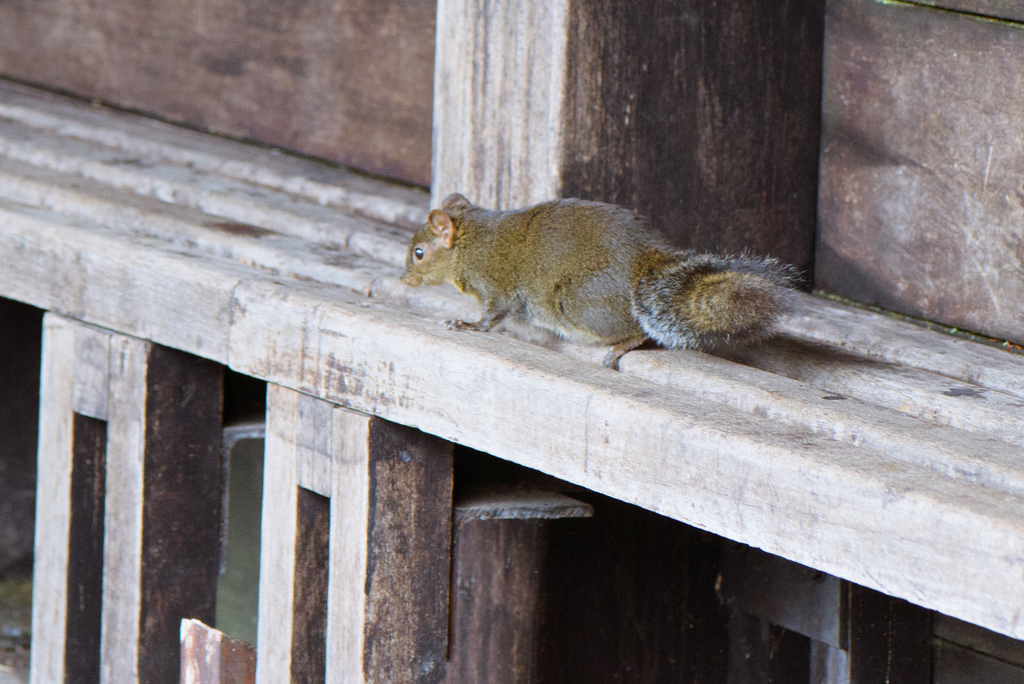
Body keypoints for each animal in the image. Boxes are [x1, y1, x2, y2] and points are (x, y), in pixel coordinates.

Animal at [402, 193, 798, 369]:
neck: (470, 242)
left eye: (419, 252)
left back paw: (622, 346)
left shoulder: (493, 282)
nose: (404, 279)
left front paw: (466, 324)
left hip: (579, 303)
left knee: (636, 329)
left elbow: (492, 316)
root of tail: (644, 260)